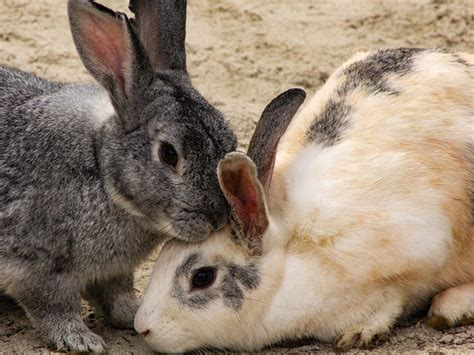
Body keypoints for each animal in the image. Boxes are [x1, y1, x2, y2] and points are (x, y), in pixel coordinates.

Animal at [0, 0, 237, 354]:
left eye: (230, 141)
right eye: (169, 154)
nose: (217, 217)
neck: (101, 170)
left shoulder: (114, 273)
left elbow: (115, 297)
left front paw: (132, 314)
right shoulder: (38, 266)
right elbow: (53, 308)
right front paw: (81, 340)